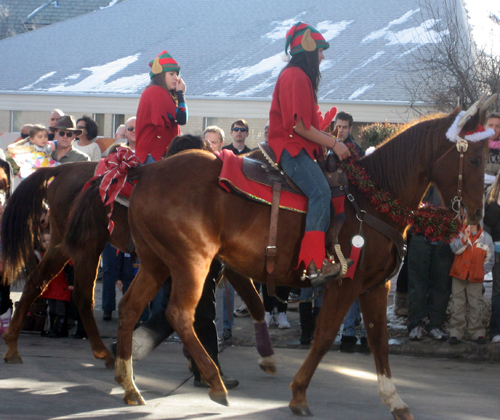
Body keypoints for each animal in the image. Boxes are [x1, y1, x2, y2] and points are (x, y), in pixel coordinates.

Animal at [111, 104, 490, 420]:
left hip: (156, 263)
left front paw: (395, 400)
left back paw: (130, 385)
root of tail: (147, 171)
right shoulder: (345, 283)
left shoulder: (375, 286)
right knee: (179, 314)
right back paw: (213, 382)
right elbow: (323, 336)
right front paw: (298, 395)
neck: (373, 198)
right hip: (192, 262)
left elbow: (379, 341)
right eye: (474, 160)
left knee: (130, 308)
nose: (478, 214)